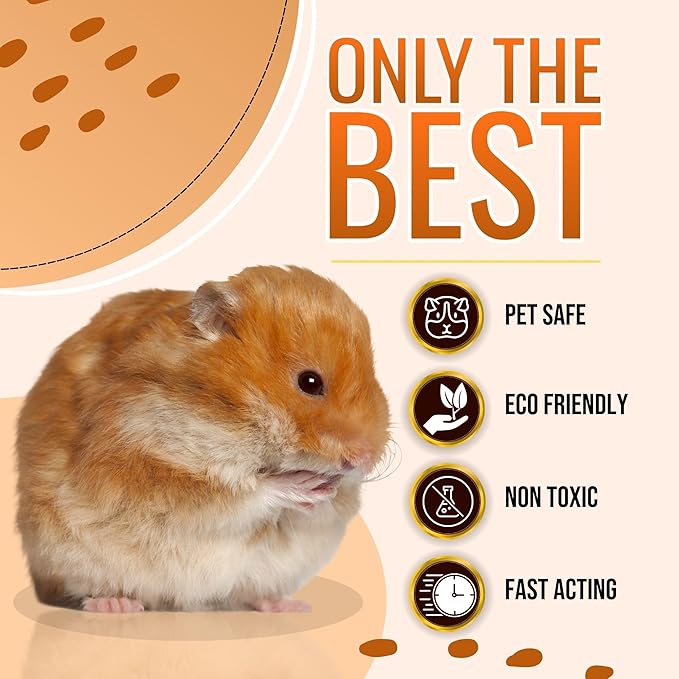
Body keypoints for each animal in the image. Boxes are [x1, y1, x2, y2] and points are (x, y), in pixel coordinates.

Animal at [15, 266, 389, 613]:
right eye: (309, 382)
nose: (364, 458)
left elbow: (322, 509)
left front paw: (327, 489)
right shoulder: (141, 466)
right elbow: (237, 494)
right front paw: (303, 484)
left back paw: (290, 607)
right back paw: (116, 606)